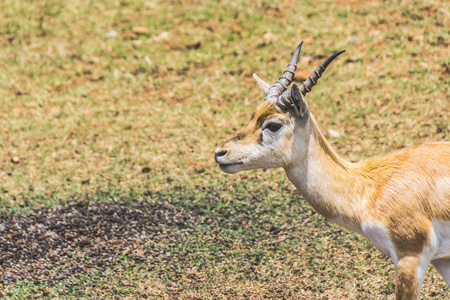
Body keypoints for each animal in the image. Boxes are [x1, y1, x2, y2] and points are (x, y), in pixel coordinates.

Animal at [214, 41, 450, 298]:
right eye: (253, 116)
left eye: (274, 125)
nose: (220, 153)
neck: (370, 188)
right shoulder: (442, 259)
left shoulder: (410, 257)